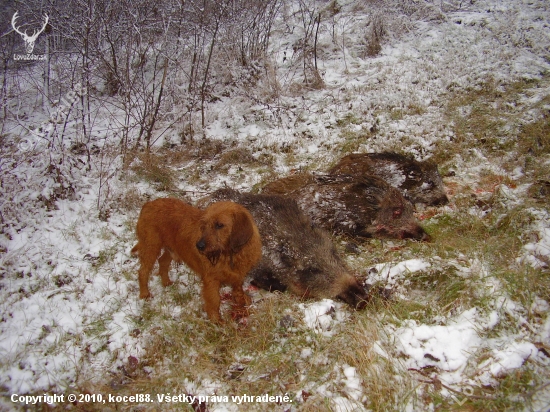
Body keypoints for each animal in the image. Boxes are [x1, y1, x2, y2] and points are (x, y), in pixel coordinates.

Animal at [133, 199, 264, 322]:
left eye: (219, 225)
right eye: (204, 225)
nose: (199, 246)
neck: (230, 255)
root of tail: (148, 204)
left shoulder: (239, 275)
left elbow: (238, 289)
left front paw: (242, 301)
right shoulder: (211, 280)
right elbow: (214, 301)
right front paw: (217, 321)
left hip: (171, 249)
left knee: (162, 261)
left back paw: (166, 282)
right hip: (151, 247)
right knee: (142, 271)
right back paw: (144, 294)